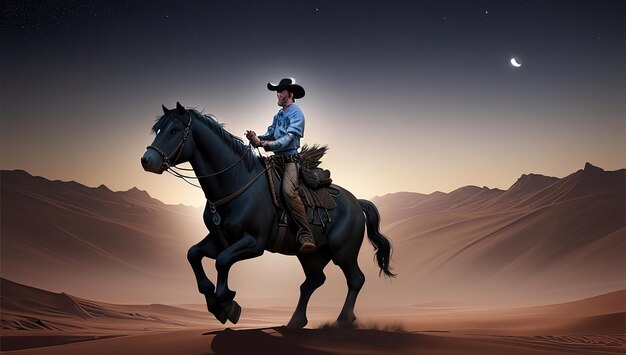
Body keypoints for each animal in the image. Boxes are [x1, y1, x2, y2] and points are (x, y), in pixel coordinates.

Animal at [142, 102, 394, 328]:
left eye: (174, 130)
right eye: (158, 129)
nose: (147, 160)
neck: (236, 183)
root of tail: (356, 202)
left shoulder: (254, 243)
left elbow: (222, 261)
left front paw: (227, 304)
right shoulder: (219, 239)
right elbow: (193, 254)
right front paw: (215, 304)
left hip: (344, 252)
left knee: (355, 279)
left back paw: (343, 319)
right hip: (311, 254)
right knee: (313, 281)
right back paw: (296, 321)